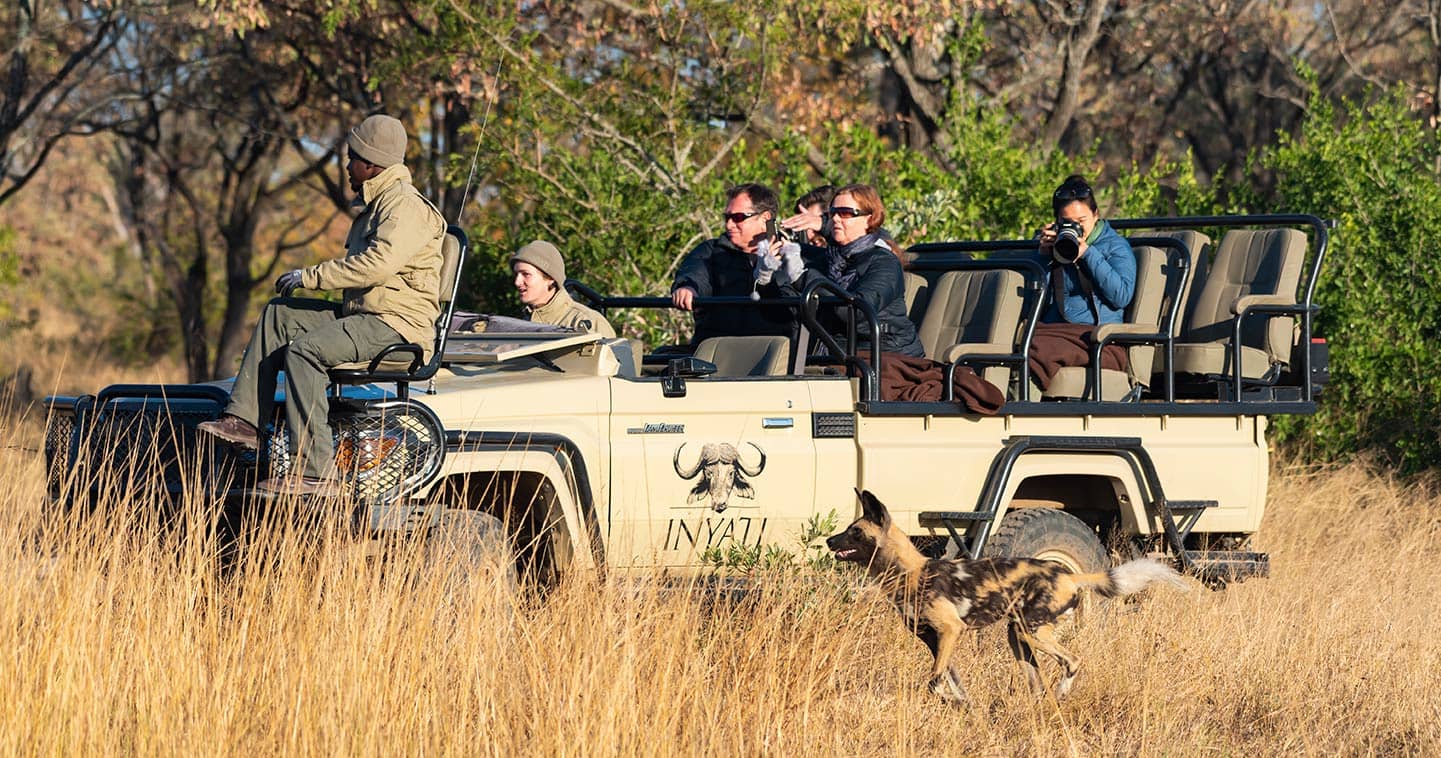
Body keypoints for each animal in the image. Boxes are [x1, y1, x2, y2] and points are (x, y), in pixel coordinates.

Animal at [830, 489, 1187, 703]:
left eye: (855, 531)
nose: (829, 541)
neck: (911, 573)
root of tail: (1069, 574)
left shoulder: (951, 630)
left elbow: (934, 682)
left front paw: (948, 702)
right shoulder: (935, 640)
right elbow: (948, 679)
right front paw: (962, 705)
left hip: (1033, 632)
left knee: (1072, 662)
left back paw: (1061, 696)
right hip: (1018, 635)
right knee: (1037, 682)